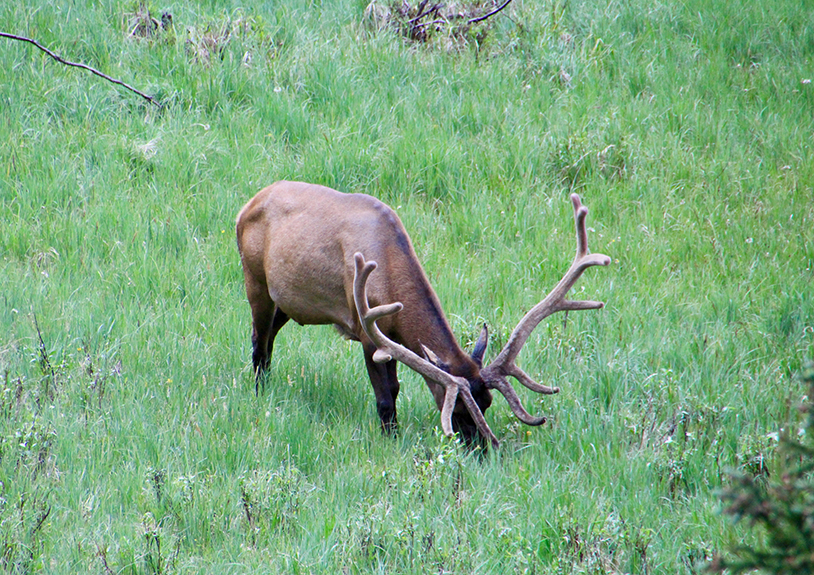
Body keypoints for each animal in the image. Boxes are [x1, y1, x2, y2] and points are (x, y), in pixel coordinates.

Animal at [233, 182, 608, 448]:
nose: (483, 450)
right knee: (258, 342)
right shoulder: (367, 329)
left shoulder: (392, 337)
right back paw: (260, 393)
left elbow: (397, 388)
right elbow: (385, 397)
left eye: (487, 403)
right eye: (456, 410)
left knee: (268, 340)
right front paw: (391, 438)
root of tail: (246, 205)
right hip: (256, 280)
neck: (388, 266)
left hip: (287, 301)